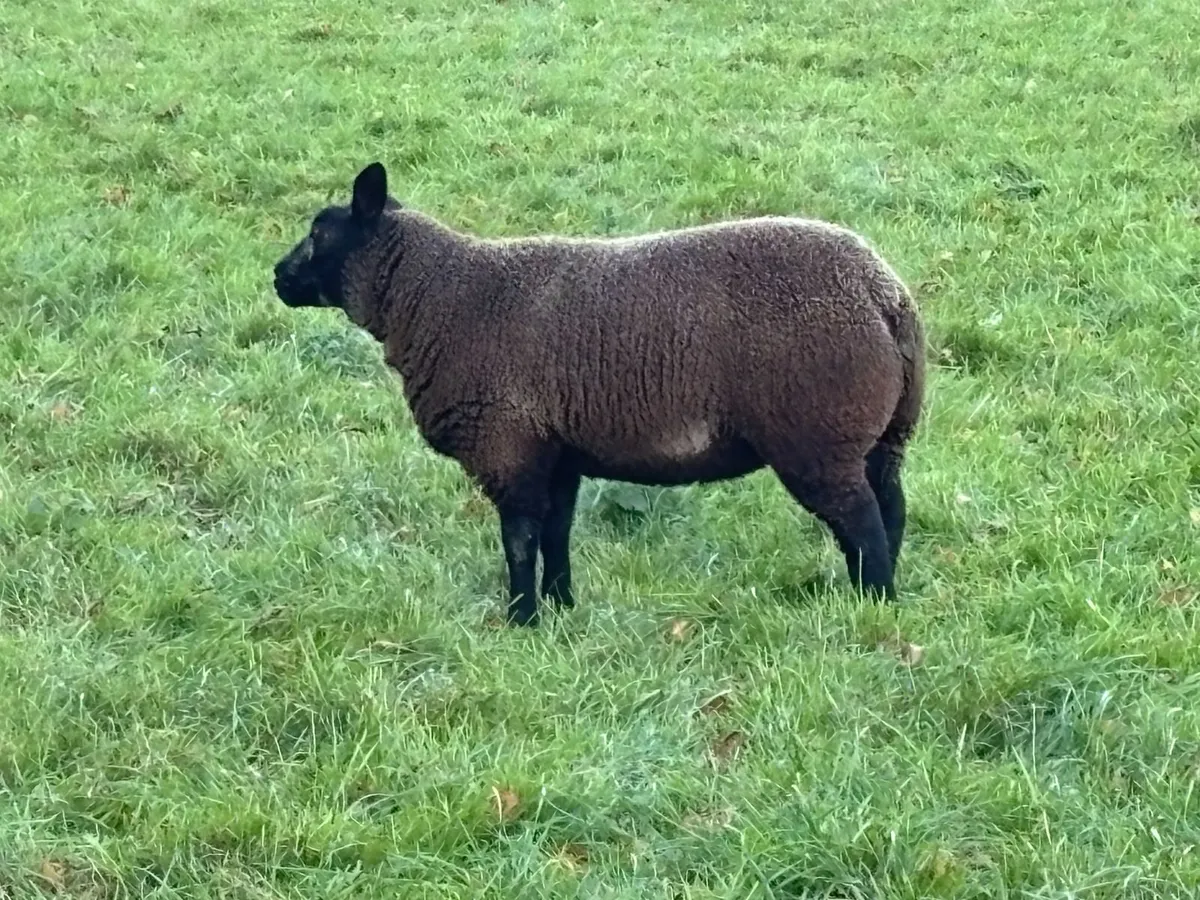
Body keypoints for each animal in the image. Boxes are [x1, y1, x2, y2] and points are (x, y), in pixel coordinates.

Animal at [272, 161, 926, 626]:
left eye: (319, 233)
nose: (277, 277)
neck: (438, 298)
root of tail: (885, 295)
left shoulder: (508, 445)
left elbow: (519, 541)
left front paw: (522, 622)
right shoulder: (556, 449)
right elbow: (556, 534)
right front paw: (562, 608)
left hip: (818, 434)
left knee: (863, 524)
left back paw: (873, 610)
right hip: (884, 434)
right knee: (891, 510)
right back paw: (878, 599)